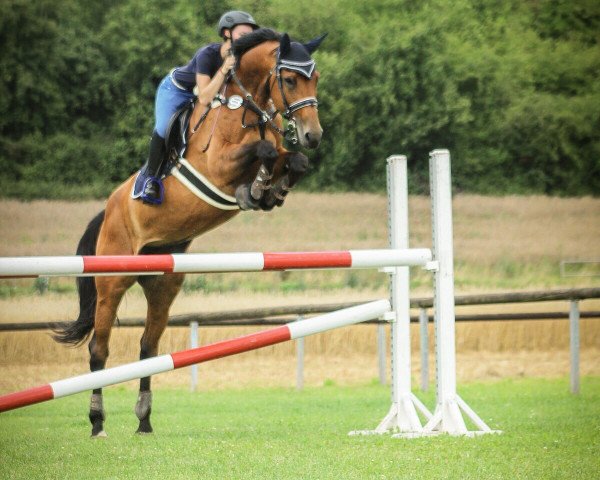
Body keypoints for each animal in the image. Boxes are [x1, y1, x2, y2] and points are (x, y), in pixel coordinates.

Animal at [53, 28, 326, 436]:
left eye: (316, 77)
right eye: (290, 79)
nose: (313, 135)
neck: (245, 109)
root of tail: (109, 209)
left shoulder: (279, 153)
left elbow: (292, 160)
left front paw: (270, 190)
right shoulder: (217, 165)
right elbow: (262, 149)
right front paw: (257, 188)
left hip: (163, 283)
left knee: (148, 348)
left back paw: (144, 420)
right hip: (112, 279)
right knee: (99, 350)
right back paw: (98, 422)